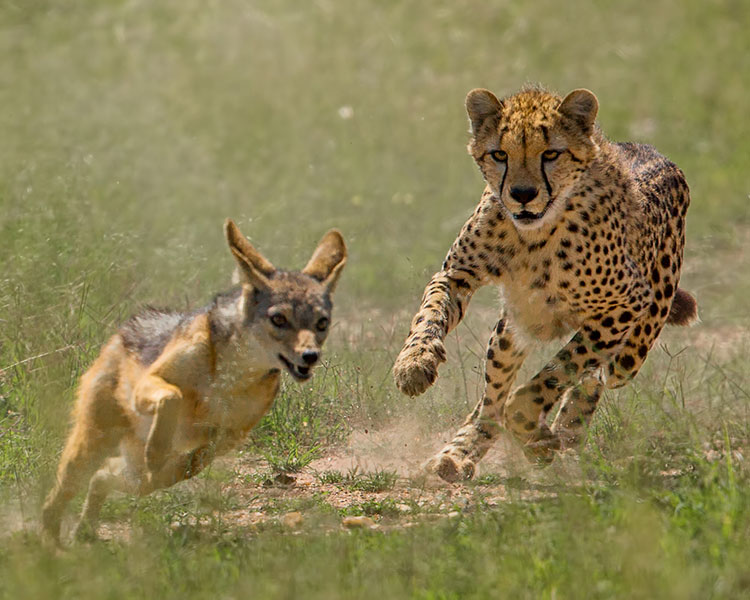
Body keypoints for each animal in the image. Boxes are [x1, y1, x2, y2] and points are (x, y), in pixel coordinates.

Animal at [394, 85, 700, 482]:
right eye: (500, 154)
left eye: (551, 153)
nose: (522, 194)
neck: (533, 235)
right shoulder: (455, 275)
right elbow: (428, 313)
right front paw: (414, 364)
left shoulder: (627, 303)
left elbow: (560, 371)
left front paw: (536, 431)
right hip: (511, 330)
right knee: (490, 402)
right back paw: (458, 455)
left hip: (633, 350)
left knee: (595, 377)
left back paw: (562, 432)